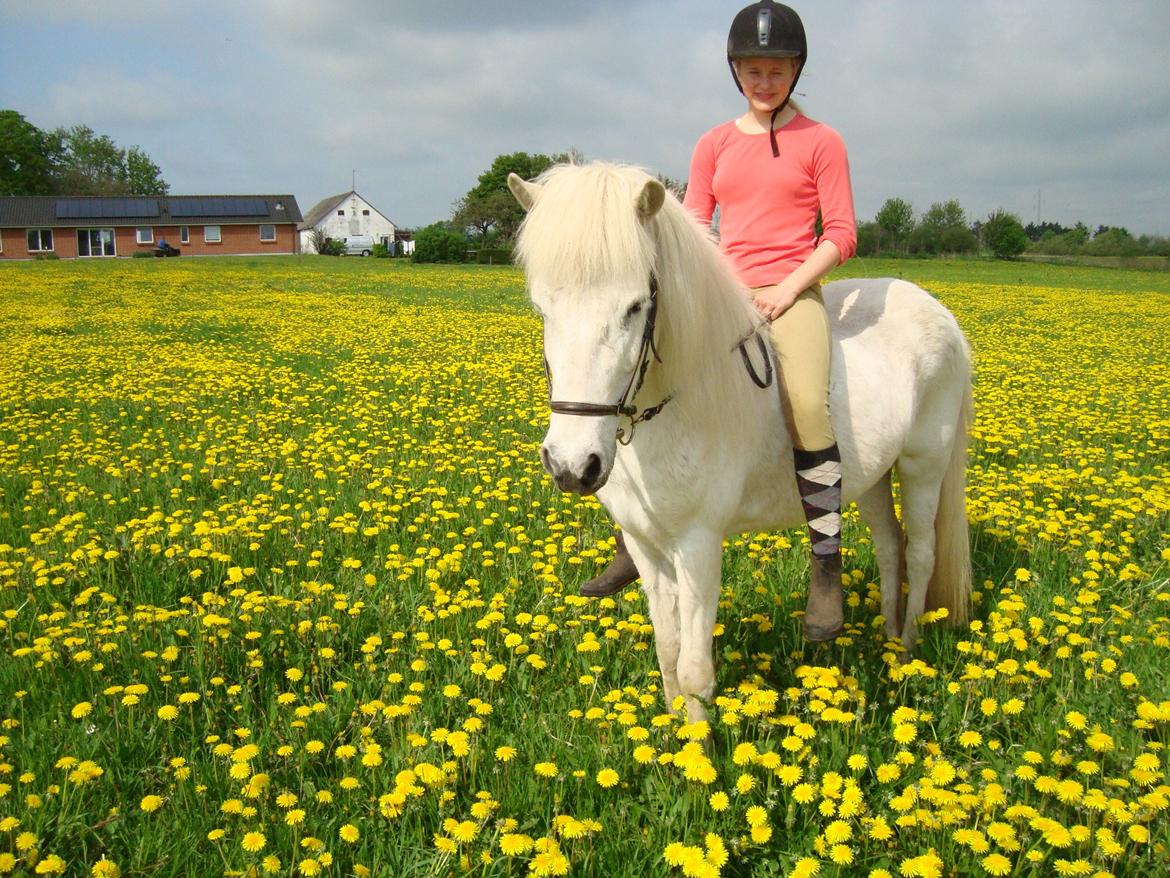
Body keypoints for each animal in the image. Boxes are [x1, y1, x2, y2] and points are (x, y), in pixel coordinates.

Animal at [507, 163, 973, 721]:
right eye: (541, 308)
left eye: (636, 307)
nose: (572, 466)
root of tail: (936, 310)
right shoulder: (645, 544)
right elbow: (667, 647)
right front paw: (670, 730)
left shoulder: (699, 546)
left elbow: (693, 669)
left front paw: (697, 742)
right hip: (875, 476)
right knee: (890, 546)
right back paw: (886, 640)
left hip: (924, 464)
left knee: (921, 553)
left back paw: (904, 650)